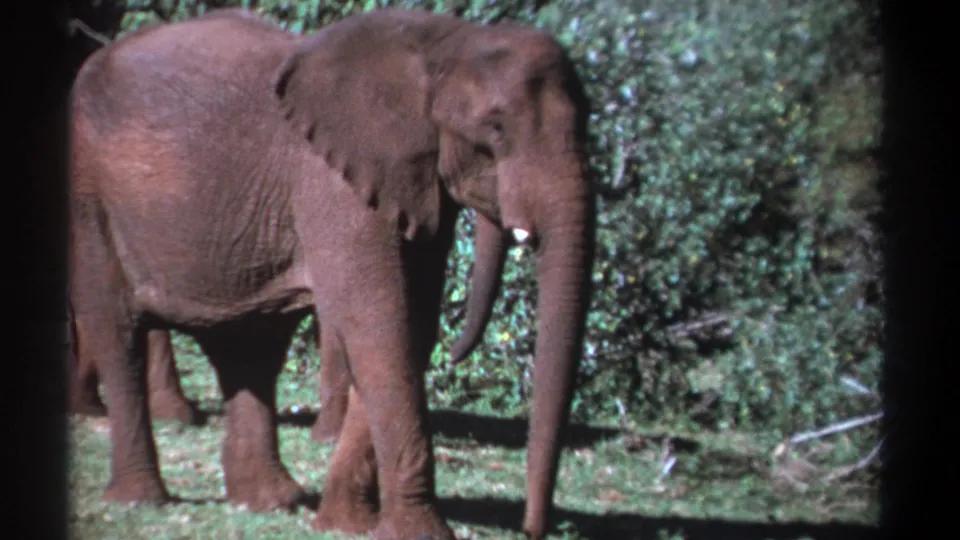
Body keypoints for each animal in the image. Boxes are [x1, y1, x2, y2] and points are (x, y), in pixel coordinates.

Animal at [68, 7, 594, 540]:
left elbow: (410, 329)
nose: (533, 529)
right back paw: (141, 499)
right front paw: (415, 533)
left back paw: (271, 501)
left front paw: (345, 523)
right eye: (496, 129)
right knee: (118, 333)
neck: (444, 43)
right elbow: (380, 325)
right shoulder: (332, 182)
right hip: (90, 198)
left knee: (249, 348)